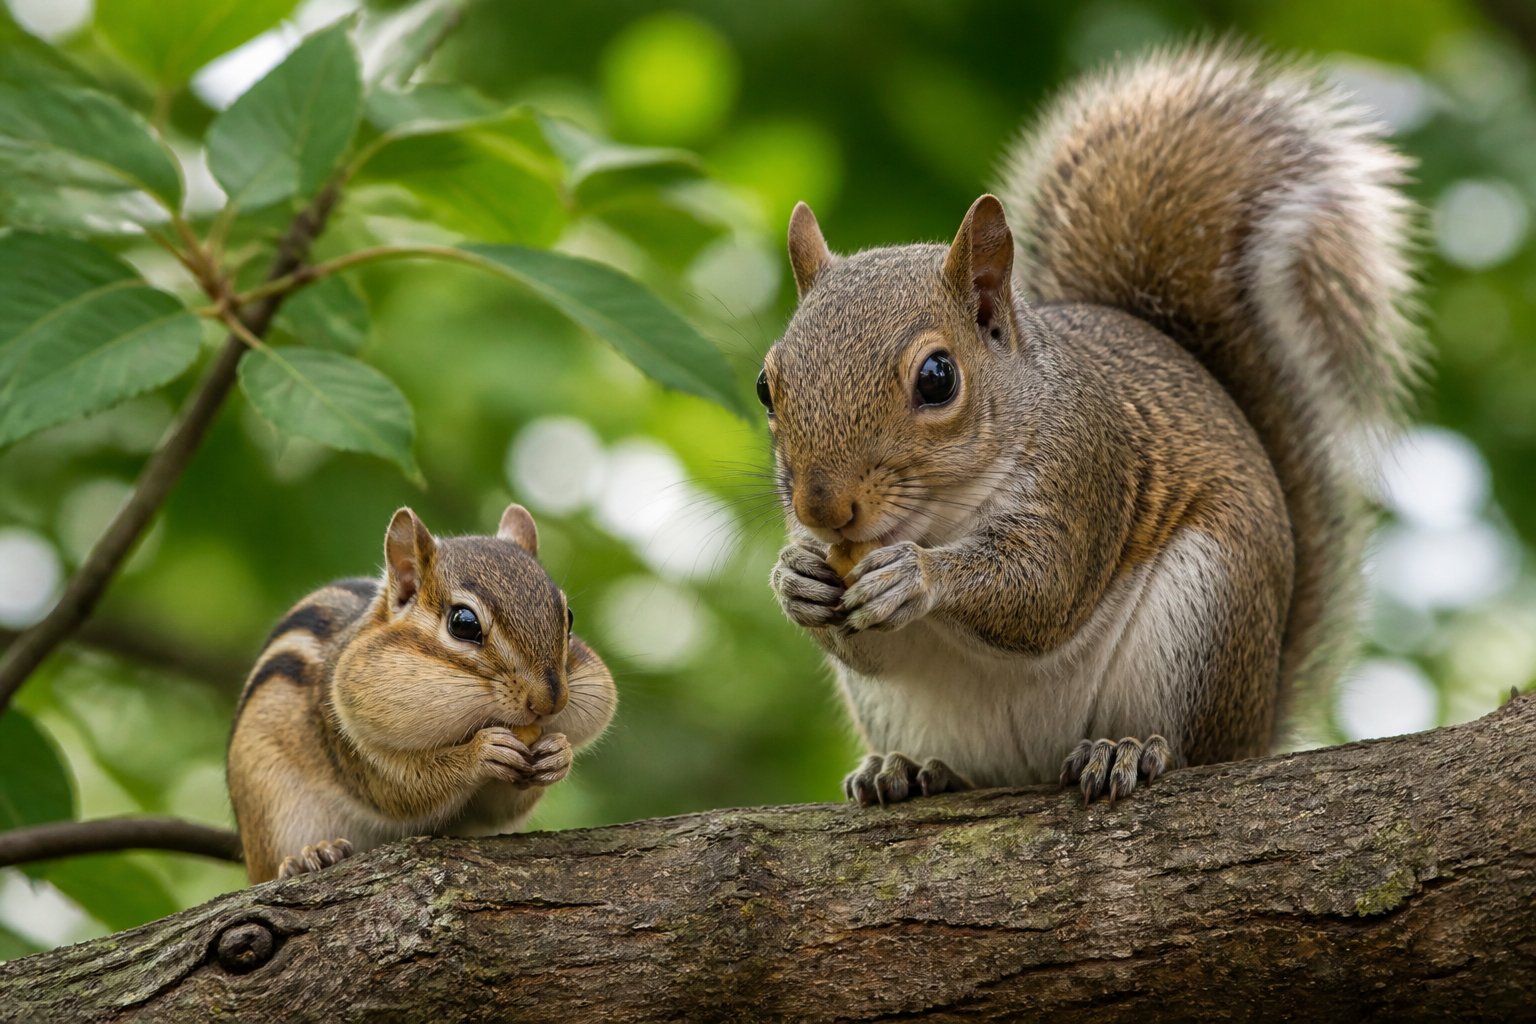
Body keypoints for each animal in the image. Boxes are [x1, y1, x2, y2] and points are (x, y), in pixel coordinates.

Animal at [227, 503, 616, 883]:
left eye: (568, 617)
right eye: (464, 624)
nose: (550, 701)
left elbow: (500, 809)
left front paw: (559, 753)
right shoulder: (344, 736)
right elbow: (404, 790)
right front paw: (479, 753)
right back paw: (310, 856)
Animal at [763, 44, 1420, 806]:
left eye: (937, 378)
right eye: (766, 386)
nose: (823, 508)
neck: (938, 514)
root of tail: (1255, 724)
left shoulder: (1085, 469)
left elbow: (1044, 588)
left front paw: (917, 576)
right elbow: (868, 646)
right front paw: (796, 578)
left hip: (1204, 616)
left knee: (1189, 748)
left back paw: (1127, 748)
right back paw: (910, 770)